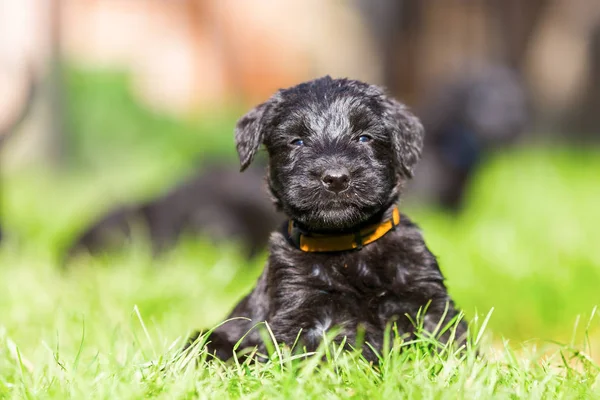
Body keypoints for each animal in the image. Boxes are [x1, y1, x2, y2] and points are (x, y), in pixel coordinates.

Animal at [185, 76, 466, 360]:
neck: (347, 249)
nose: (336, 178)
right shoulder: (300, 307)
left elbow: (446, 338)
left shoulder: (427, 297)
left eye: (364, 137)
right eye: (297, 141)